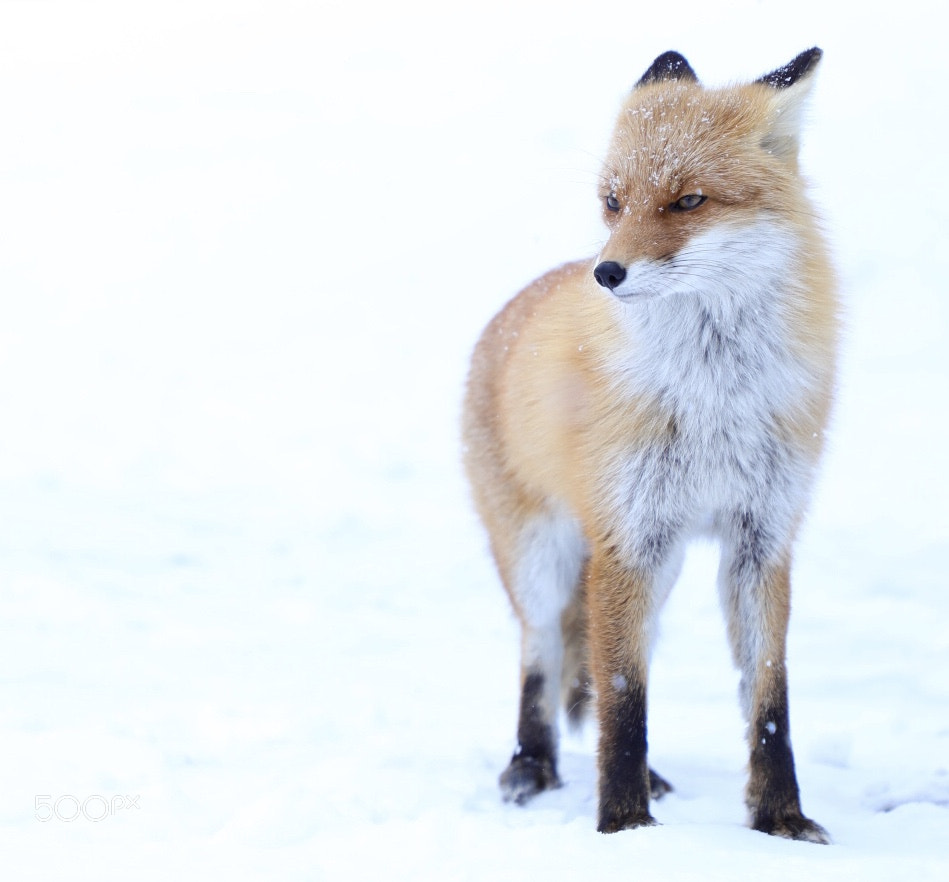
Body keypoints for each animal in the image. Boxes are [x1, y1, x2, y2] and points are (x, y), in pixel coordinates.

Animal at [461, 48, 837, 840]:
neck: (714, 396)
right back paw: (531, 769)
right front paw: (624, 825)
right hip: (545, 562)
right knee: (541, 660)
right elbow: (623, 700)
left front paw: (780, 821)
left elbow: (768, 701)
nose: (606, 273)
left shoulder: (761, 539)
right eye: (613, 201)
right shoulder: (626, 538)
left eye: (687, 201)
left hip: (655, 575)